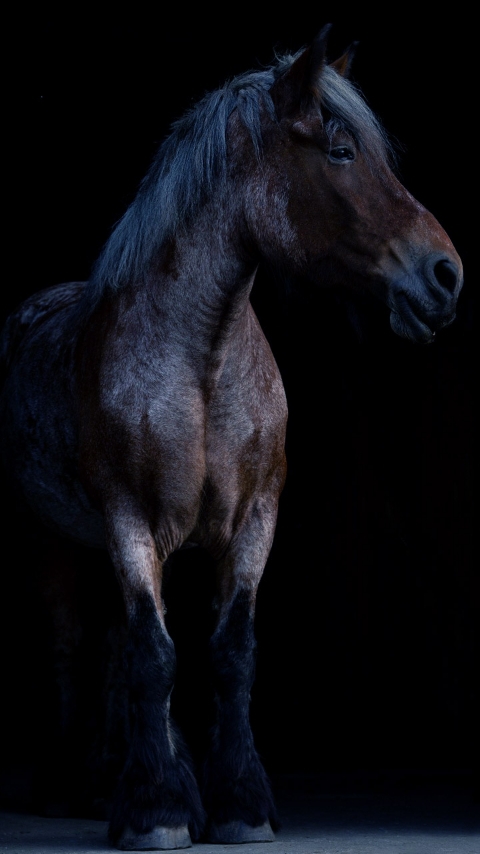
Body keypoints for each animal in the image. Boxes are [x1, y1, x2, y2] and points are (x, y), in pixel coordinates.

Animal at [0, 25, 463, 851]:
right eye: (341, 150)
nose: (446, 275)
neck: (202, 365)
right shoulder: (130, 524)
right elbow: (156, 655)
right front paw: (157, 809)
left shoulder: (253, 523)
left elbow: (228, 654)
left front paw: (235, 802)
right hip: (48, 538)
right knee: (71, 645)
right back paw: (70, 784)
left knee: (114, 649)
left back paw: (113, 778)